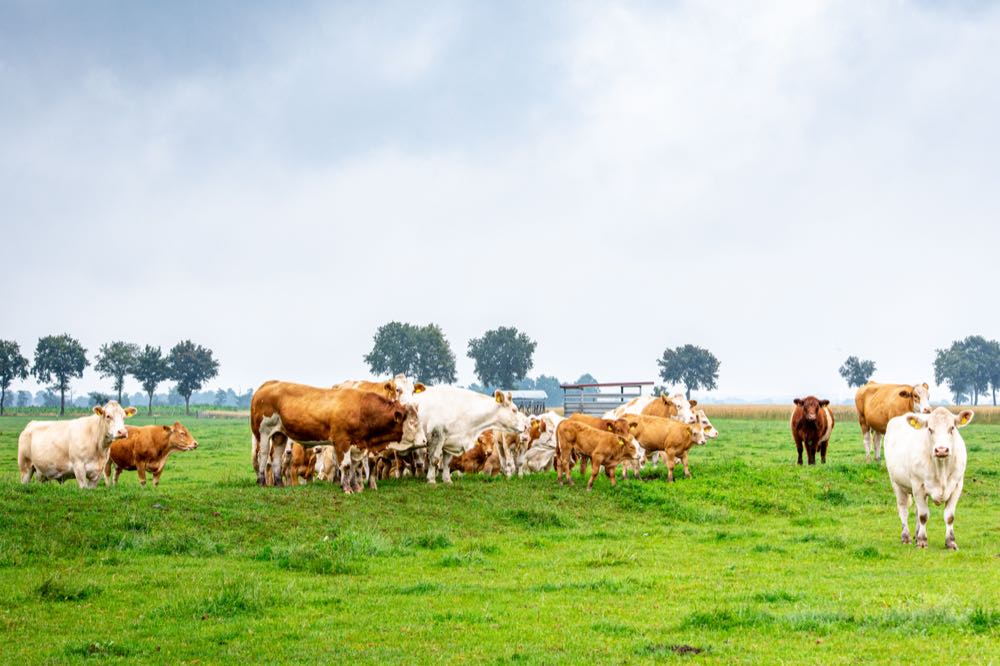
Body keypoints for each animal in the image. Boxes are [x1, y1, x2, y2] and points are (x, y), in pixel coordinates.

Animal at [252, 378, 424, 492]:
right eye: (412, 422)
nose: (424, 440)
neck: (361, 409)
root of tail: (268, 384)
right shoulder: (342, 441)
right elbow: (347, 465)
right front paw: (348, 489)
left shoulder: (357, 444)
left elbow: (355, 466)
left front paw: (355, 487)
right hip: (263, 433)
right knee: (263, 455)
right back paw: (262, 482)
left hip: (279, 435)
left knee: (276, 457)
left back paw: (279, 484)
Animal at [888, 404, 972, 548]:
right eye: (930, 429)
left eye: (952, 428)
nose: (941, 450)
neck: (941, 469)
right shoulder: (917, 485)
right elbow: (923, 515)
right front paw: (922, 541)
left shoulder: (957, 486)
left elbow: (949, 516)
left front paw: (951, 542)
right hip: (897, 483)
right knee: (903, 509)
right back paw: (906, 537)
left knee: (916, 511)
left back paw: (916, 535)